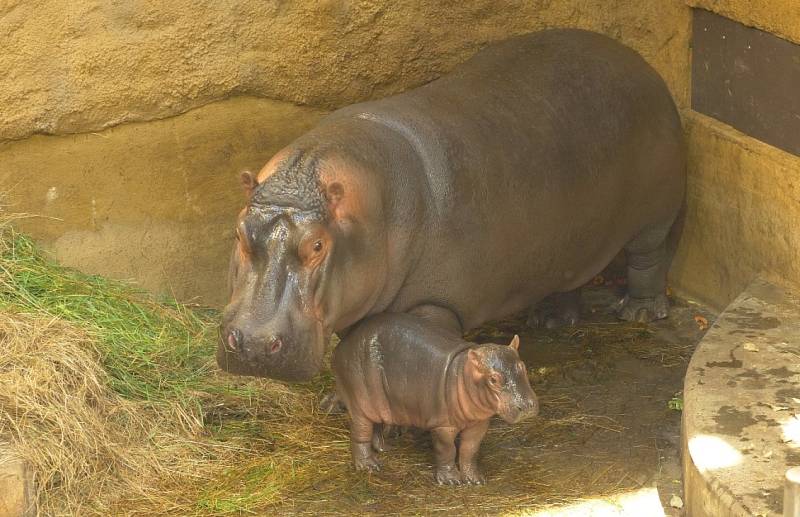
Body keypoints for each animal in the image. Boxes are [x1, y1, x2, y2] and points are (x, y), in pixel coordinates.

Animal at [216, 29, 684, 382]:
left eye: (316, 245)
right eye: (238, 233)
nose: (254, 344)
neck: (375, 207)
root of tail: (638, 60)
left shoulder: (436, 306)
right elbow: (358, 351)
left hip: (655, 213)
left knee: (648, 256)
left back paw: (639, 313)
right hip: (569, 235)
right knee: (568, 273)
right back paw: (551, 320)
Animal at [332, 312, 536, 486]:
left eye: (523, 366)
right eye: (493, 379)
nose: (527, 406)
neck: (463, 373)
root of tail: (341, 346)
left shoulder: (479, 423)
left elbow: (470, 450)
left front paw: (475, 479)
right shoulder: (443, 426)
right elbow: (447, 450)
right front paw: (452, 480)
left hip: (379, 402)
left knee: (376, 425)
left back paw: (385, 448)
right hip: (360, 401)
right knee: (360, 432)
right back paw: (369, 466)